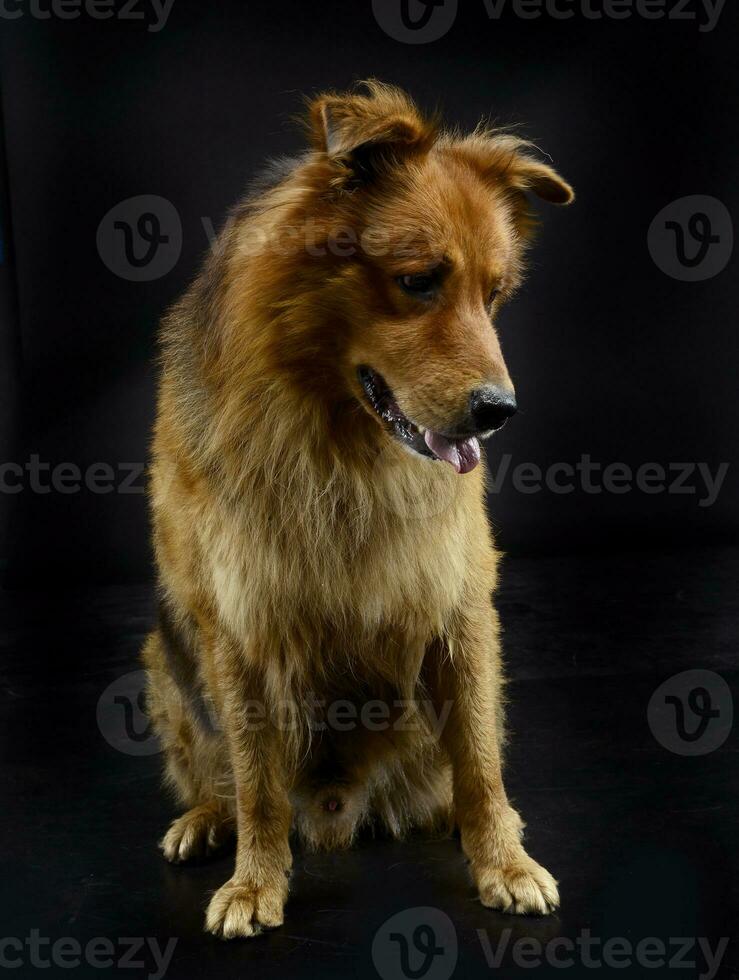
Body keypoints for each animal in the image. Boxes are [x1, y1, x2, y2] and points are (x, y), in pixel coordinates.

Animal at [142, 80, 576, 936]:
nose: (500, 411)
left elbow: (480, 764)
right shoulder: (239, 625)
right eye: (419, 280)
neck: (335, 444)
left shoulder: (459, 607)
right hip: (163, 660)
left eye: (494, 294)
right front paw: (255, 881)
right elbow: (256, 782)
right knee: (216, 773)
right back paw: (206, 819)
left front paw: (503, 863)